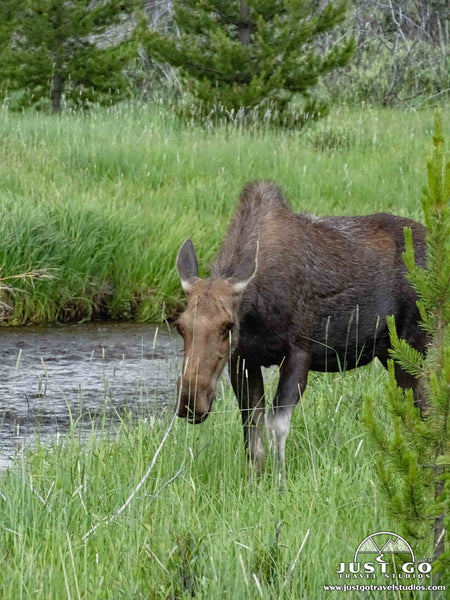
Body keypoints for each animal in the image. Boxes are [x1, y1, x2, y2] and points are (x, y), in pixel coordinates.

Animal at [174, 180, 428, 480]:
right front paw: (254, 481)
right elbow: (252, 432)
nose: (191, 401)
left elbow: (278, 423)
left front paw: (280, 481)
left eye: (228, 325)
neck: (256, 308)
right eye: (179, 325)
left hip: (416, 342)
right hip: (389, 352)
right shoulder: (243, 359)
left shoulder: (299, 352)